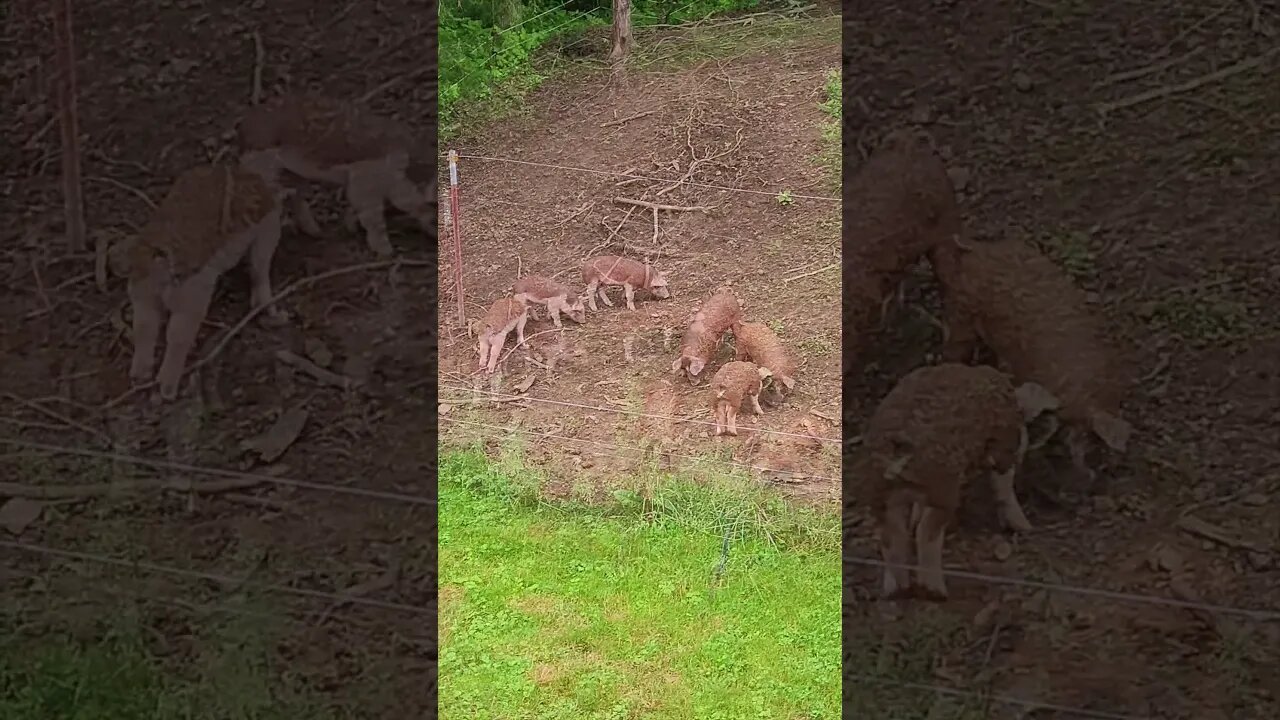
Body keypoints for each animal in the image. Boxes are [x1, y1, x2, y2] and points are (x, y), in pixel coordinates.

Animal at [855, 361, 1044, 597]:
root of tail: (895, 451)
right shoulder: (1003, 449)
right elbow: (1004, 484)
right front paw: (1024, 526)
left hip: (879, 491)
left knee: (892, 534)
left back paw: (895, 590)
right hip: (943, 489)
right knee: (926, 532)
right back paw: (936, 591)